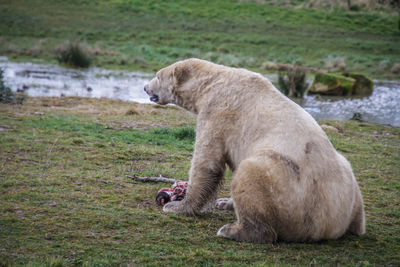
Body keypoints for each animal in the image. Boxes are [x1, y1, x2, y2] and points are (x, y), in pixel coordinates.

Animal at [143, 59, 366, 245]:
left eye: (158, 75)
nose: (145, 87)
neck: (212, 83)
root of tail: (330, 224)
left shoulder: (218, 112)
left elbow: (207, 161)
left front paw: (177, 206)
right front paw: (224, 202)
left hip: (290, 190)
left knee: (250, 172)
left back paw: (233, 230)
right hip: (349, 182)